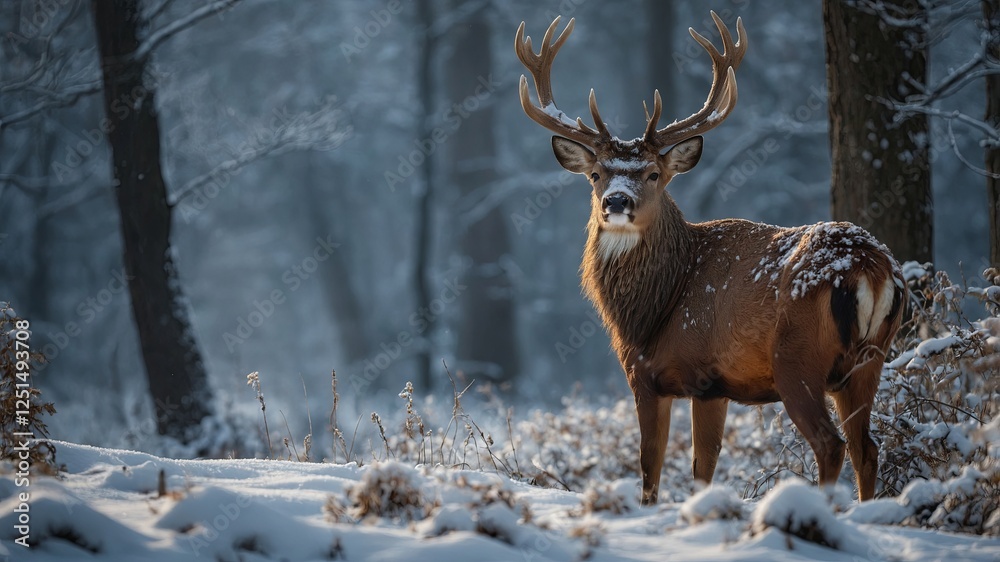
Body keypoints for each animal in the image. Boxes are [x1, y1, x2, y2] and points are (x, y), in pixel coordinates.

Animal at [515, 12, 904, 505]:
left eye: (653, 174)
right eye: (596, 174)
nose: (617, 201)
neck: (655, 308)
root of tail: (870, 267)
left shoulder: (674, 376)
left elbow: (655, 468)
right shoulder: (715, 388)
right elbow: (703, 468)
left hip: (798, 359)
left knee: (830, 444)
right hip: (868, 361)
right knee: (866, 448)